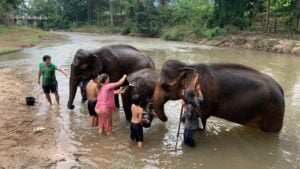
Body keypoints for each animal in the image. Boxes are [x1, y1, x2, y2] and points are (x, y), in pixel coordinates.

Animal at [154, 59, 284, 132]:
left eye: (164, 86)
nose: (166, 119)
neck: (188, 65)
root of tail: (280, 88)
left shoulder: (204, 98)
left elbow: (201, 118)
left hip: (274, 112)